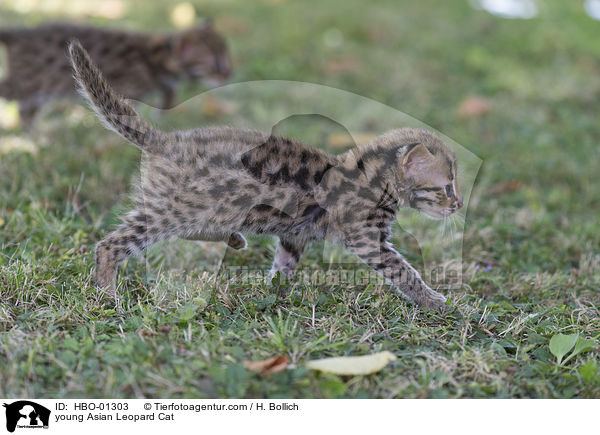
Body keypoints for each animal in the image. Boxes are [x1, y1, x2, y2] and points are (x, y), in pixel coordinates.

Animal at [69, 41, 464, 312]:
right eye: (445, 186)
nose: (459, 205)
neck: (376, 176)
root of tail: (167, 140)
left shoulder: (295, 234)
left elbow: (284, 264)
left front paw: (275, 292)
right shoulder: (367, 238)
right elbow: (403, 270)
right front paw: (434, 301)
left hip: (195, 210)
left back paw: (233, 239)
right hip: (172, 211)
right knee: (111, 244)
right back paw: (107, 295)